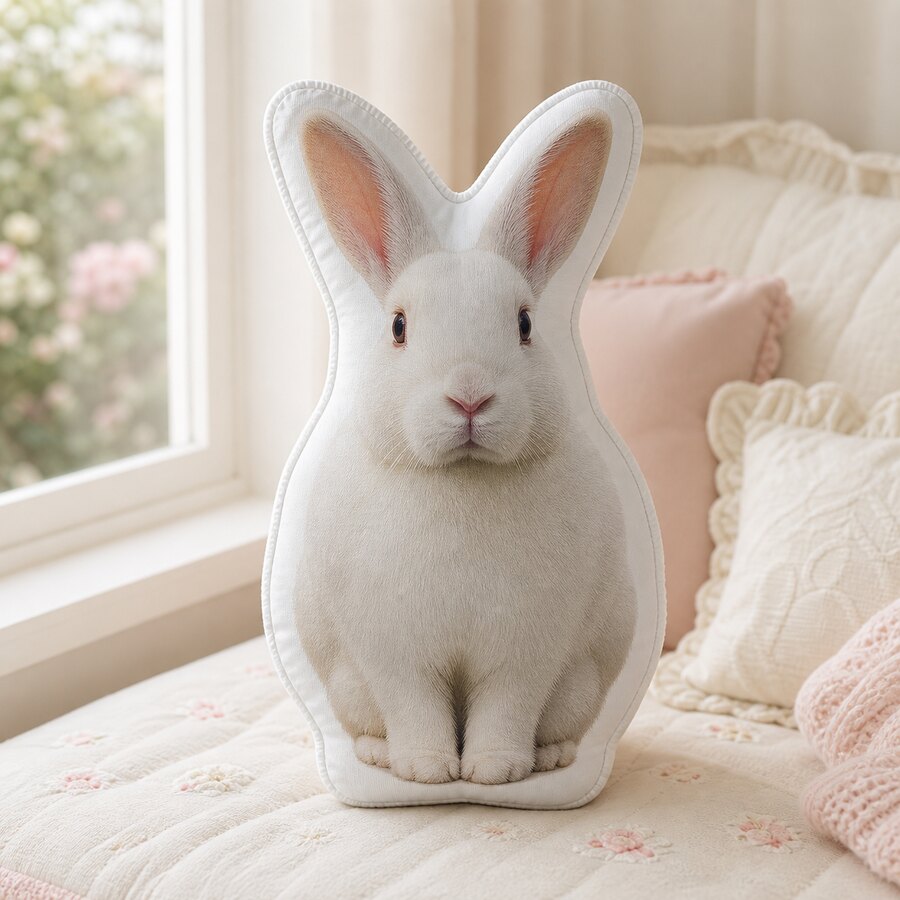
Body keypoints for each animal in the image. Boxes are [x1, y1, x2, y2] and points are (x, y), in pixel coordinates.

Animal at [295, 112, 636, 785]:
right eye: (398, 327)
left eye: (525, 324)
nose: (470, 397)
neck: (463, 479)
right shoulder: (394, 655)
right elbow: (415, 707)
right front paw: (427, 770)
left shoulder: (527, 653)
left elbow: (506, 707)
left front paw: (492, 772)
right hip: (349, 686)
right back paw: (378, 755)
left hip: (579, 686)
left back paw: (549, 759)